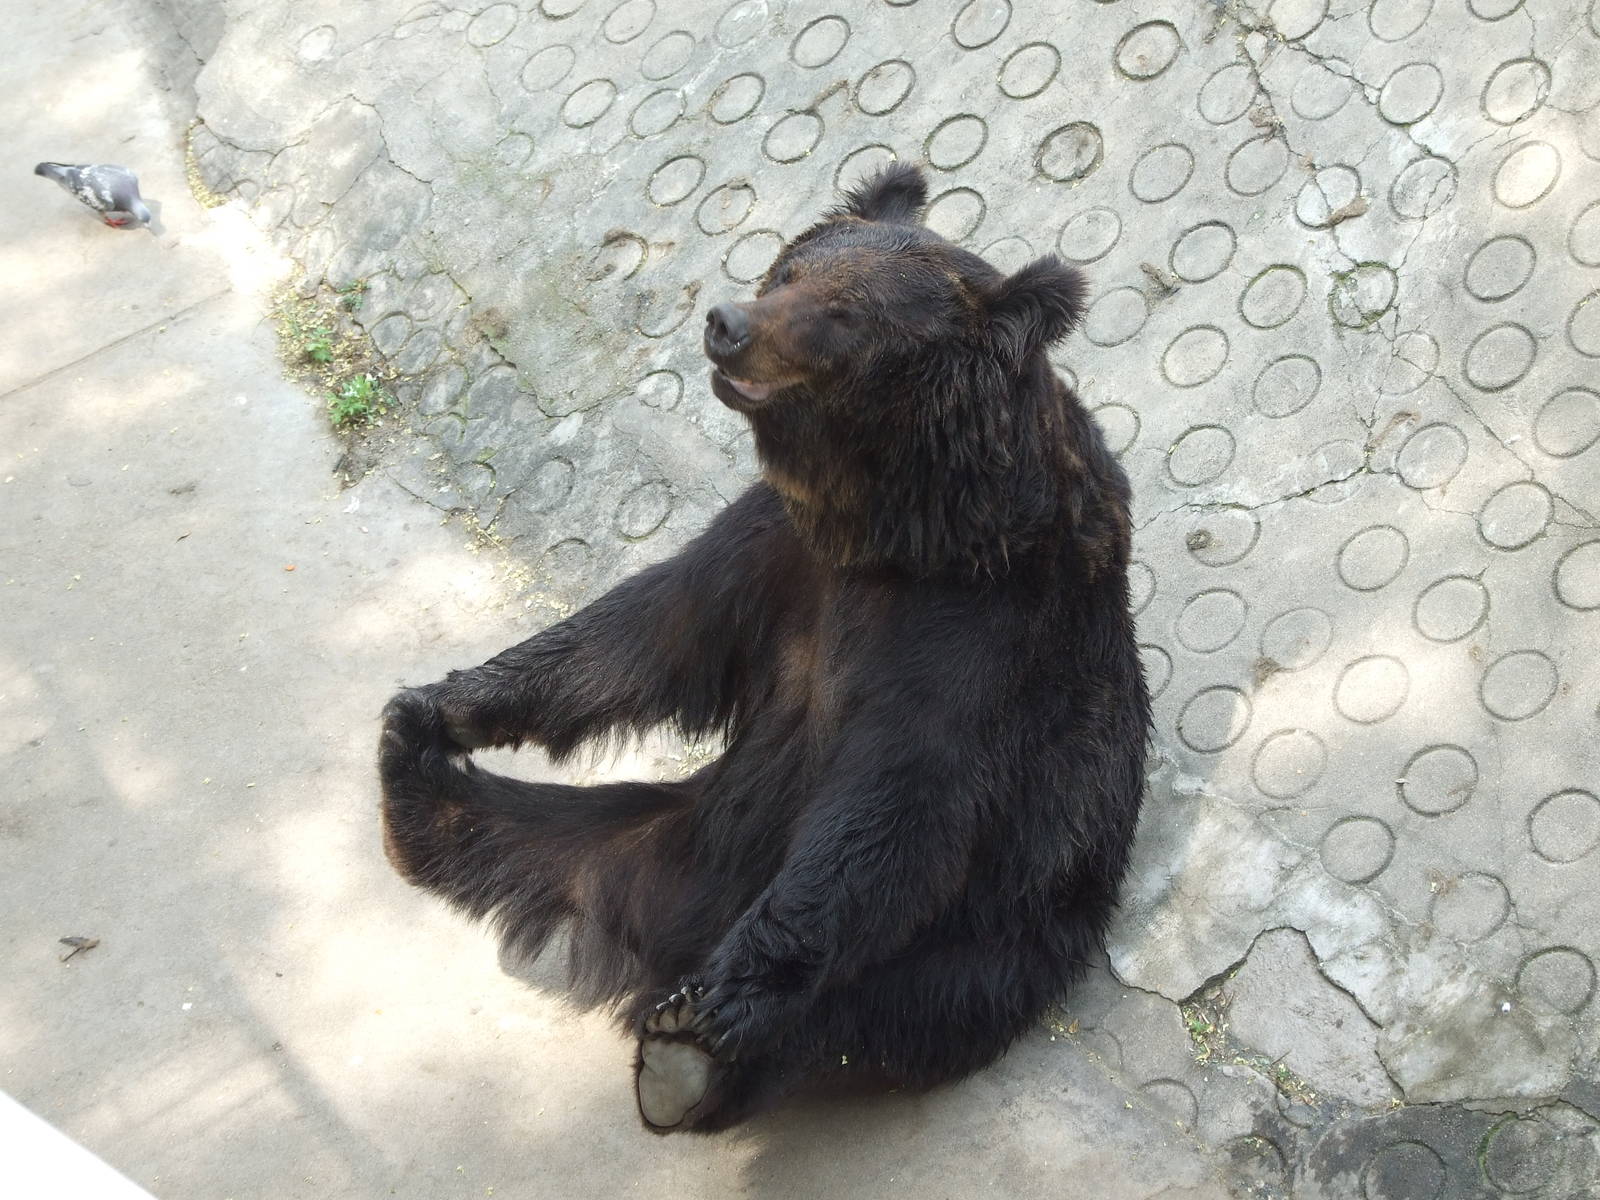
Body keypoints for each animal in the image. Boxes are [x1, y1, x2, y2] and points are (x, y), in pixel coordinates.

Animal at [377, 163, 1150, 1134]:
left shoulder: (986, 636)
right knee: (522, 835)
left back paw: (685, 1053)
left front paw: (720, 1008)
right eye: (792, 269)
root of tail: (666, 931)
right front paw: (447, 702)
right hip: (657, 833)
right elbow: (646, 632)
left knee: (867, 1004)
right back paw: (411, 781)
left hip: (993, 939)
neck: (900, 529)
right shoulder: (774, 551)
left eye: (843, 314)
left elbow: (895, 805)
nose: (728, 321)